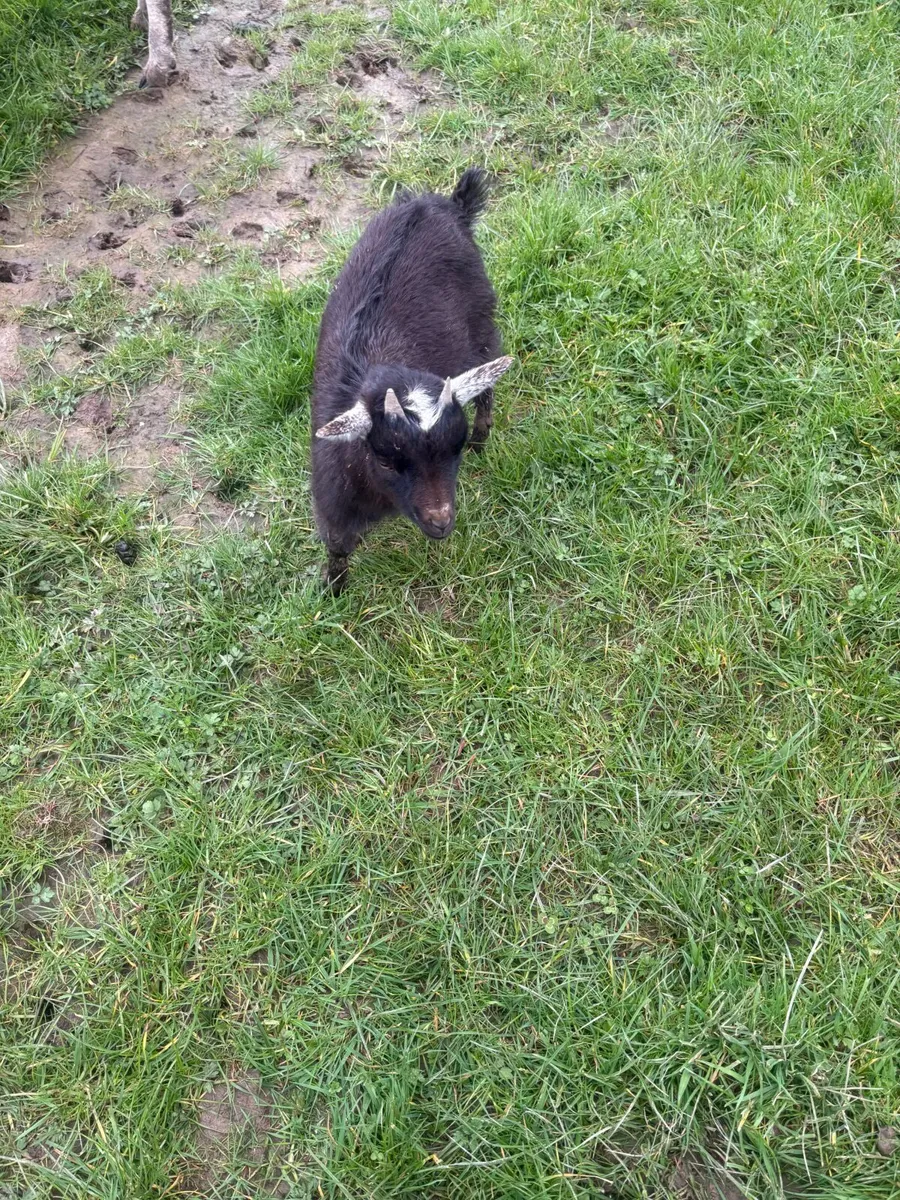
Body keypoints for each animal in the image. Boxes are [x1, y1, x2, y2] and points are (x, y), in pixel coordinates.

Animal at [311, 167, 513, 594]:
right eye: (386, 459)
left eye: (455, 448)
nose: (441, 522)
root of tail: (447, 205)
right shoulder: (333, 493)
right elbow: (337, 543)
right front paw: (334, 590)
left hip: (482, 321)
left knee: (487, 381)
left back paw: (484, 436)